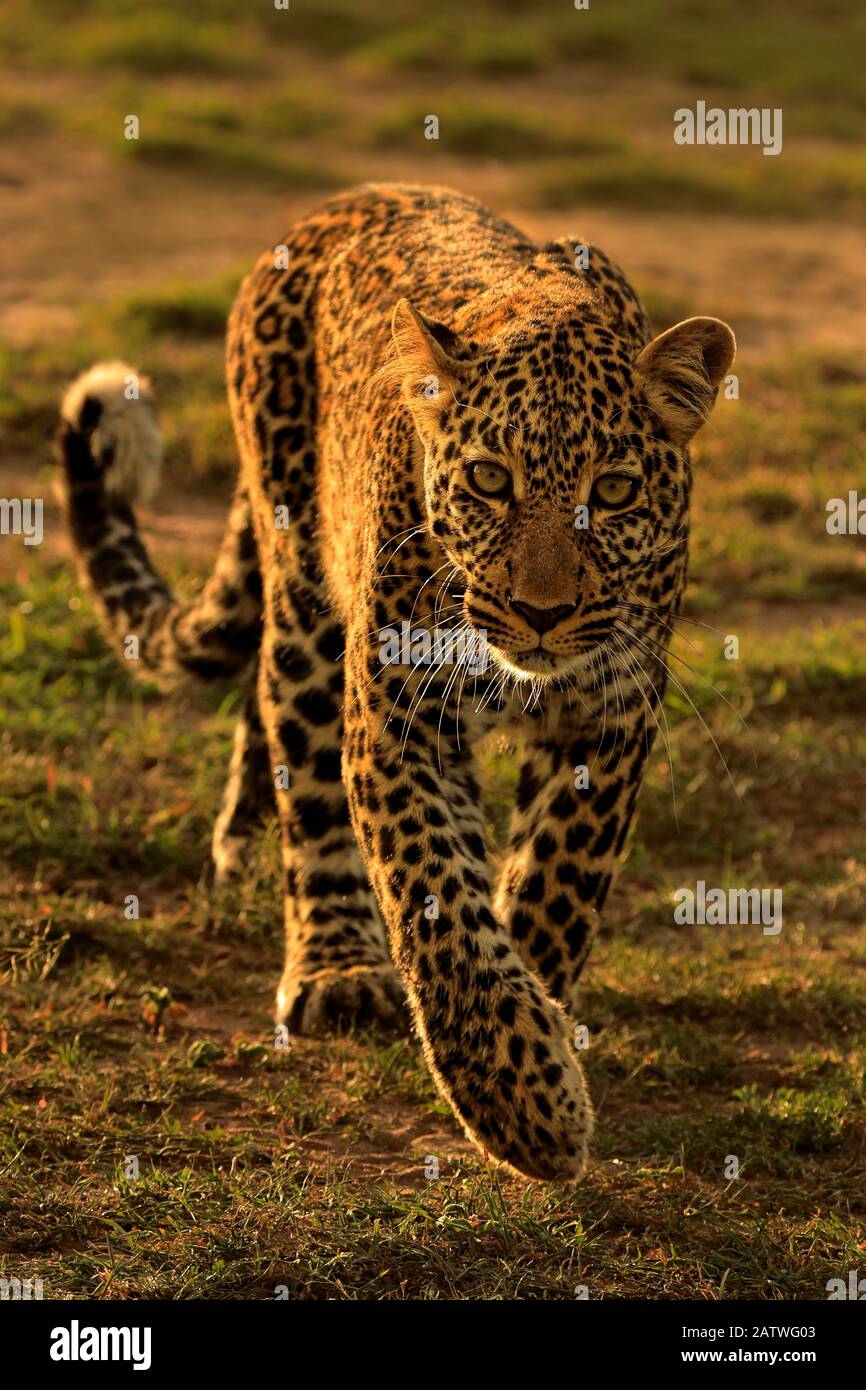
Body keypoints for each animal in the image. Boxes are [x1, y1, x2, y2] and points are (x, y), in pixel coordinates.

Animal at [55, 183, 735, 1182]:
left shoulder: (611, 713)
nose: (540, 612)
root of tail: (342, 202)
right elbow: (437, 900)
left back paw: (245, 837)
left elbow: (554, 883)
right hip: (306, 590)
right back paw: (334, 964)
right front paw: (526, 1107)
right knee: (297, 747)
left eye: (612, 493)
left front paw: (538, 1025)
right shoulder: (397, 717)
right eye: (489, 480)